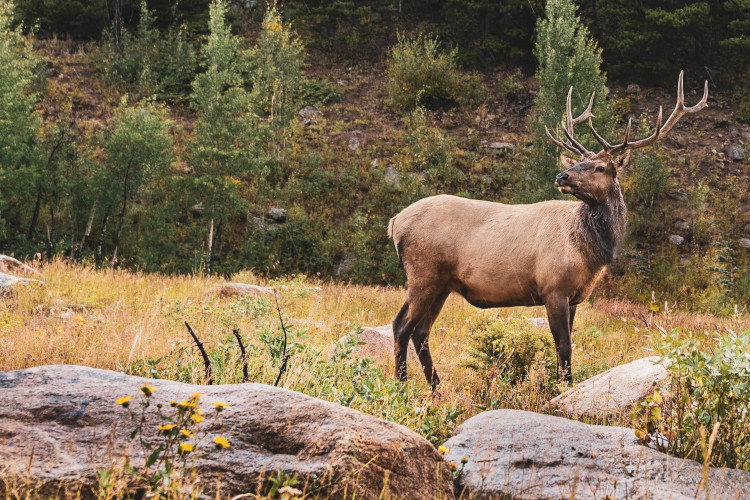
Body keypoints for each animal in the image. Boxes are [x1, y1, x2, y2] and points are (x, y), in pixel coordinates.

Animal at [390, 72, 708, 386]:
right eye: (581, 161)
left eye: (600, 167)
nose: (561, 175)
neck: (589, 252)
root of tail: (395, 222)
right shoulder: (553, 288)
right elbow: (564, 347)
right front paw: (564, 388)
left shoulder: (575, 296)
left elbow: (561, 349)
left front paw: (559, 385)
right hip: (424, 273)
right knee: (401, 326)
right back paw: (402, 385)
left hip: (442, 283)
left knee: (421, 332)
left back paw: (436, 387)